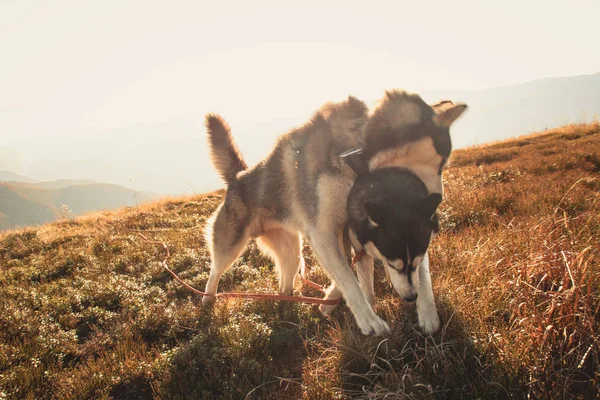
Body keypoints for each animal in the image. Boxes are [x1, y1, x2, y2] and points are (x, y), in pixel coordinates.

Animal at [202, 90, 464, 334]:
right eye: (440, 165)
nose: (436, 211)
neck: (353, 154)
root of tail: (238, 177)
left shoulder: (356, 230)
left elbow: (414, 271)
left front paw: (427, 313)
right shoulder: (323, 233)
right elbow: (349, 280)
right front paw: (369, 322)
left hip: (292, 252)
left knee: (285, 283)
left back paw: (289, 308)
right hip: (229, 247)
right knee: (214, 272)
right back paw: (208, 301)